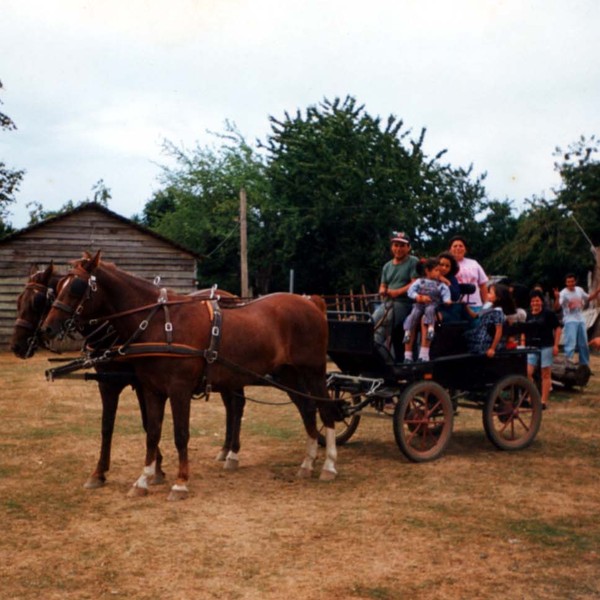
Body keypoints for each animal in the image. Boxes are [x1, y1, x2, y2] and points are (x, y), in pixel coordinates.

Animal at [10, 262, 244, 488]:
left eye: (37, 302)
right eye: (19, 300)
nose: (17, 346)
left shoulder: (142, 384)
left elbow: (147, 424)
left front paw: (157, 468)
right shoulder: (108, 383)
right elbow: (107, 426)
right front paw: (99, 473)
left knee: (237, 406)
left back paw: (232, 452)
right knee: (230, 406)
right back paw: (225, 450)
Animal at [43, 251, 338, 500]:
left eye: (76, 287)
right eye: (57, 287)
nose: (48, 328)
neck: (159, 323)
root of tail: (313, 303)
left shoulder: (179, 389)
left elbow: (180, 434)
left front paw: (180, 482)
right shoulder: (151, 389)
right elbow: (152, 432)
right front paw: (143, 480)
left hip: (313, 371)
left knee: (326, 409)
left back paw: (329, 465)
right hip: (288, 374)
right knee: (307, 409)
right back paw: (307, 463)